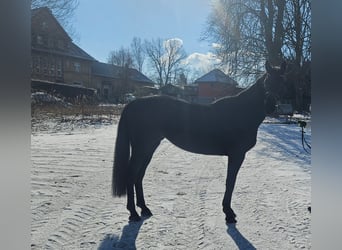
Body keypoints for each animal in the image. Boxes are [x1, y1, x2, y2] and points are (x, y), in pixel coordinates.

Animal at [112, 61, 286, 224]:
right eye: (267, 82)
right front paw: (228, 213)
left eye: (282, 81)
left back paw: (144, 208)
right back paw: (133, 213)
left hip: (149, 147)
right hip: (142, 148)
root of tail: (133, 103)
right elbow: (230, 182)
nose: (270, 105)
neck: (242, 112)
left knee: (139, 175)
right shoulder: (236, 155)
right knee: (131, 174)